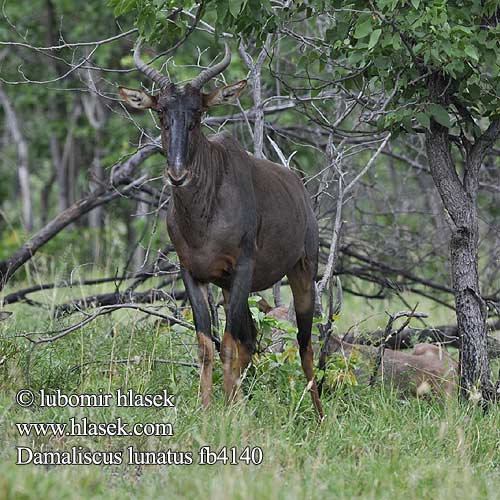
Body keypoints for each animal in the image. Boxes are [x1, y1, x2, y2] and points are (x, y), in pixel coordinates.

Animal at [120, 40, 324, 418]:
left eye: (198, 112)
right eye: (161, 111)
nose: (178, 174)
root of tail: (299, 186)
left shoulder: (242, 269)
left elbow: (228, 343)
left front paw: (227, 412)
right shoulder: (193, 273)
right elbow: (207, 344)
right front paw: (208, 410)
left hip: (302, 272)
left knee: (304, 343)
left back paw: (319, 416)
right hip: (230, 289)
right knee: (251, 338)